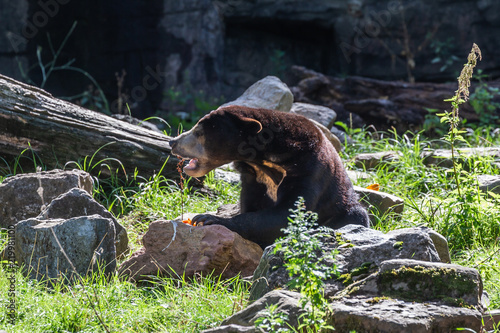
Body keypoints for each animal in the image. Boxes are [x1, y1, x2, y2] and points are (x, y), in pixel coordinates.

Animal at [170, 105, 370, 248]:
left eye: (199, 132)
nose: (173, 141)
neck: (266, 160)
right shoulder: (252, 177)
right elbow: (252, 204)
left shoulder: (309, 169)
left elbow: (288, 214)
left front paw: (208, 219)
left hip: (343, 208)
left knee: (355, 216)